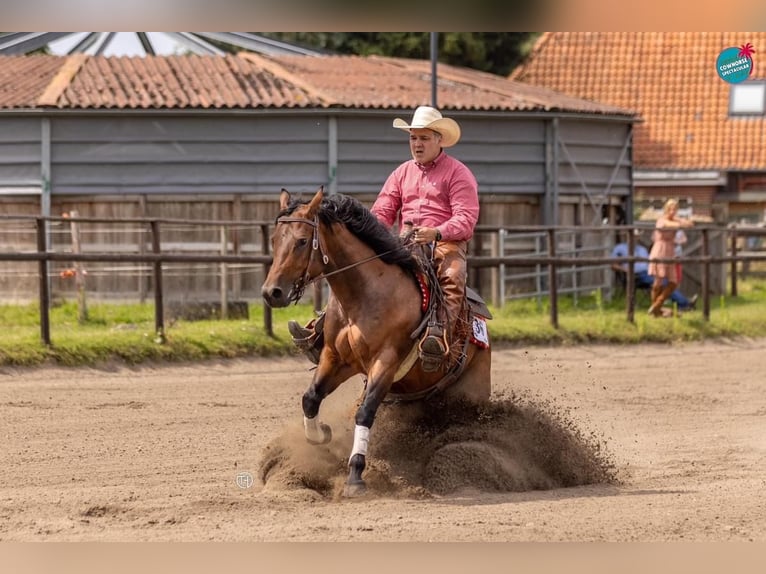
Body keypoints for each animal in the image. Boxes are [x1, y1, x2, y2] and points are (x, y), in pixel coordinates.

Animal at [261, 186, 492, 497]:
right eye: (274, 239)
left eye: (301, 241)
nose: (271, 292)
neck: (364, 296)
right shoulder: (336, 358)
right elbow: (311, 398)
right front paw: (321, 435)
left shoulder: (386, 362)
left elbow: (365, 413)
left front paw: (355, 476)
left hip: (471, 395)